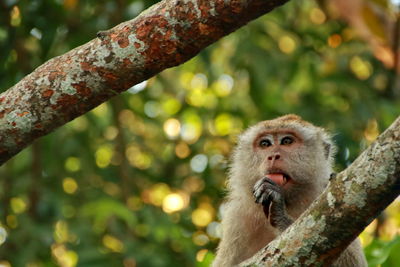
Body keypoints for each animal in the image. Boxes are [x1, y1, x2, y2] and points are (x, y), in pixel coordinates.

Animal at [214, 115, 368, 267]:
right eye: (265, 144)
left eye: (287, 141)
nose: (273, 156)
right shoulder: (237, 217)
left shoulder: (334, 193)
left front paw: (280, 215)